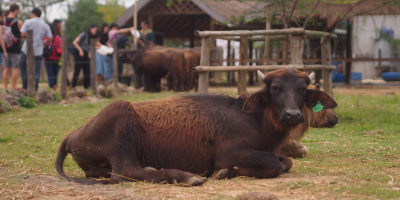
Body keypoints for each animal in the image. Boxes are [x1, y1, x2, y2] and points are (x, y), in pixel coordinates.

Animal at [55, 69, 338, 186]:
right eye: (276, 88)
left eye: (302, 90)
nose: (292, 114)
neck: (252, 119)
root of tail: (71, 135)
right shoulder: (231, 151)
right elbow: (275, 163)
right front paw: (227, 172)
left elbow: (286, 162)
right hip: (121, 125)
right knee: (125, 172)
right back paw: (185, 176)